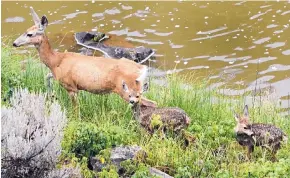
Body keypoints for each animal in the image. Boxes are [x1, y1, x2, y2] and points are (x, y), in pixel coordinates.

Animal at [13, 7, 150, 114]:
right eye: (25, 31)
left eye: (30, 34)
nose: (14, 43)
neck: (56, 61)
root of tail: (143, 68)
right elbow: (47, 77)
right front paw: (51, 95)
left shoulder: (71, 86)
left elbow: (76, 109)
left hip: (129, 91)